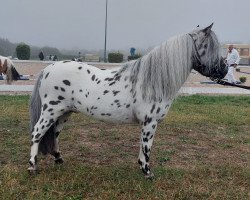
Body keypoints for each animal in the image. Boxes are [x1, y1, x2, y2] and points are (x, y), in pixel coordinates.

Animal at [27, 23, 229, 178]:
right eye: (210, 47)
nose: (225, 69)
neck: (153, 80)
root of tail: (48, 69)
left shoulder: (146, 123)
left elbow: (142, 146)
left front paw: (142, 167)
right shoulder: (150, 122)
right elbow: (147, 147)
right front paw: (148, 173)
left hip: (64, 113)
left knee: (54, 135)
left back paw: (59, 160)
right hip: (50, 111)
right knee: (37, 133)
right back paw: (32, 166)